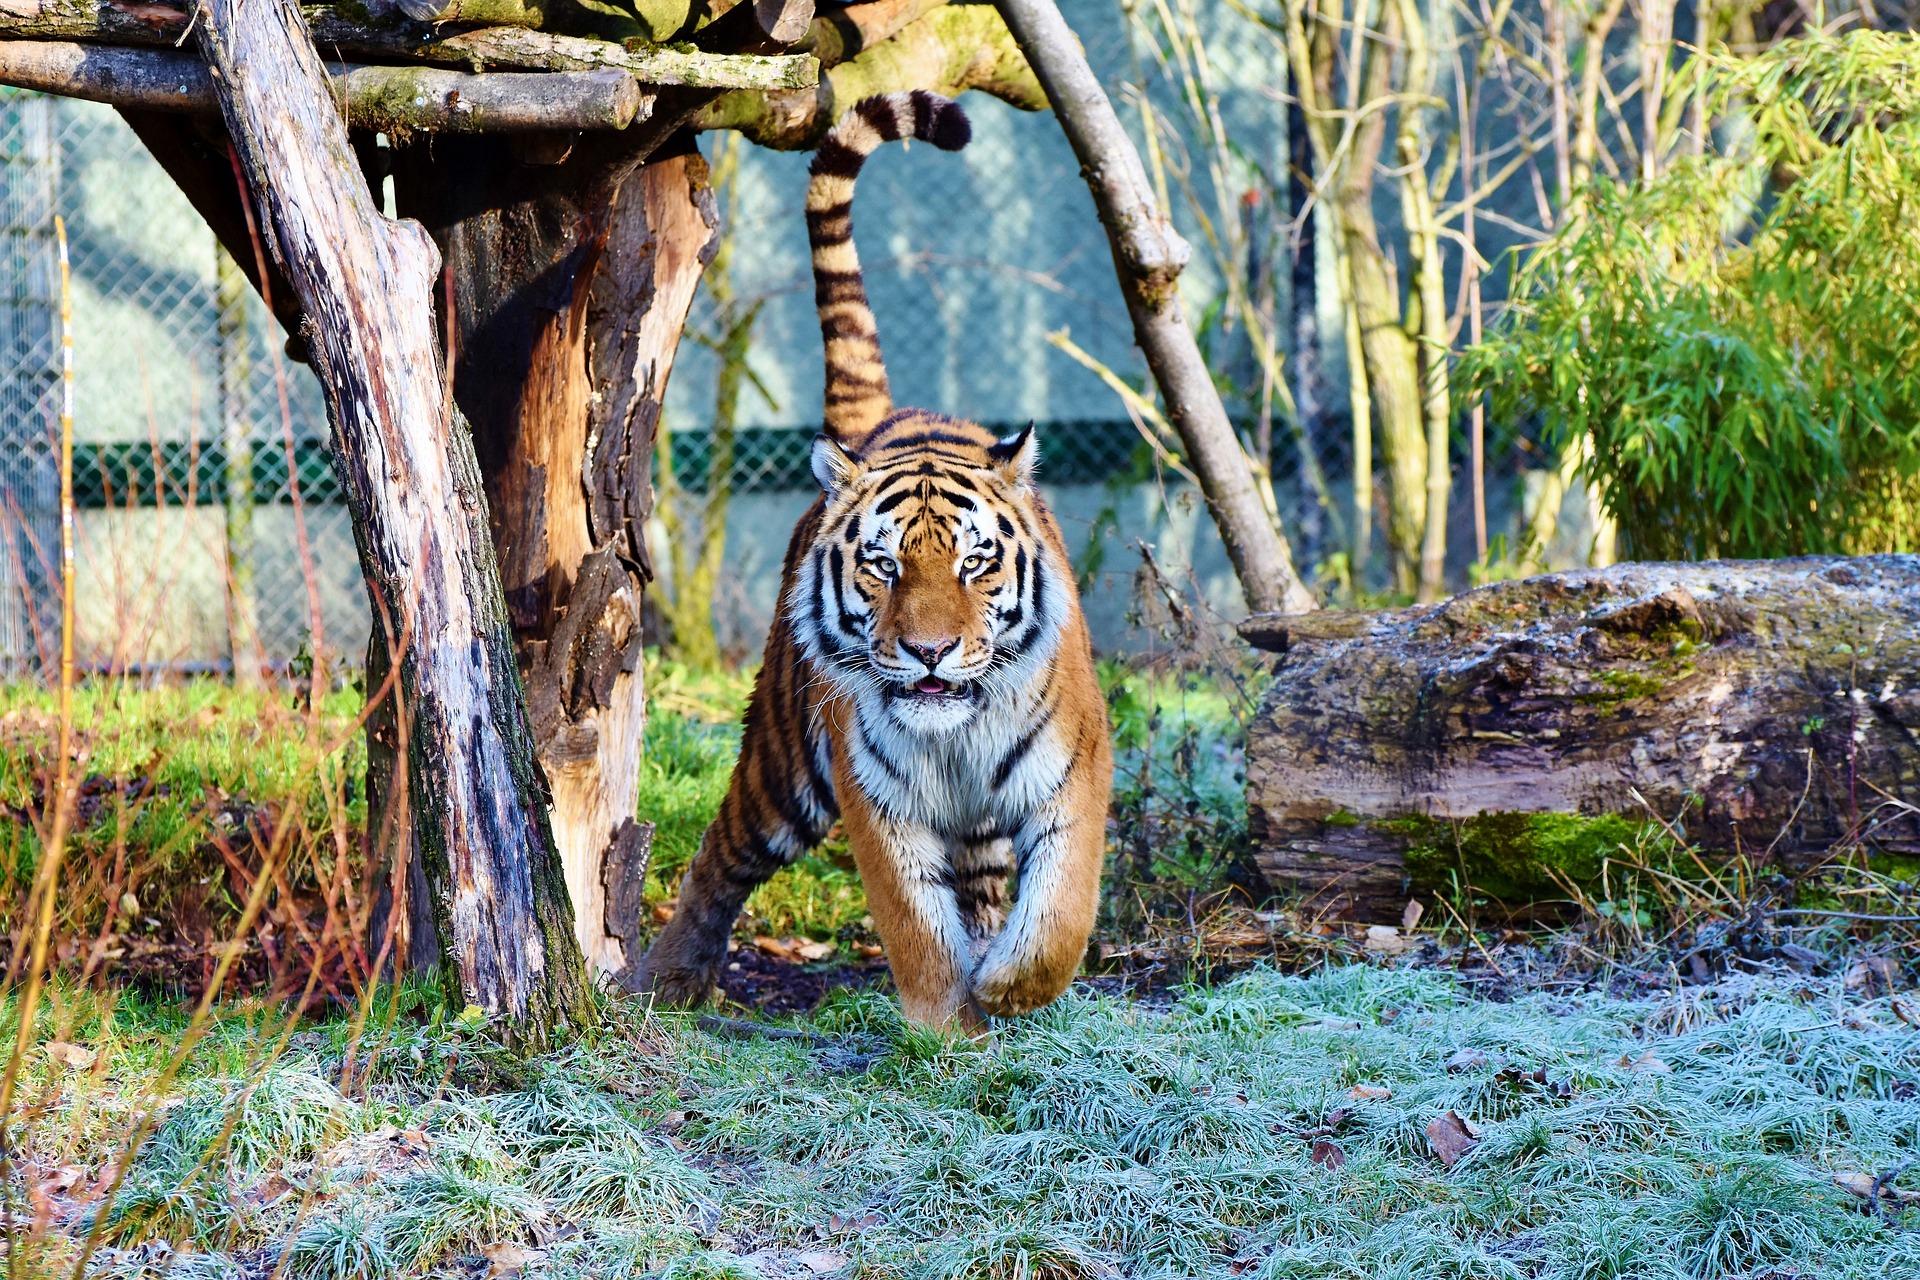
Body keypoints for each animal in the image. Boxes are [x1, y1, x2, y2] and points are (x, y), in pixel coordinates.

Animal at [633, 90, 1113, 1028]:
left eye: (974, 565)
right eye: (884, 568)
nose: (929, 652)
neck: (957, 737)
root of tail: (883, 419)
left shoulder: (1074, 771)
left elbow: (1062, 911)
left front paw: (1008, 985)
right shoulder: (875, 797)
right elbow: (914, 927)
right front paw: (944, 1027)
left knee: (985, 885)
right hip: (782, 763)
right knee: (720, 852)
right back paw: (666, 978)